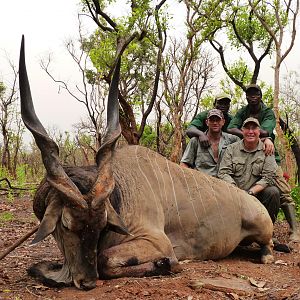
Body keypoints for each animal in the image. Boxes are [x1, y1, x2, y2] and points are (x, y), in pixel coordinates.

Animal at [17, 35, 274, 290]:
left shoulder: (157, 241)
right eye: (66, 225)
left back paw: (266, 255)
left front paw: (167, 264)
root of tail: (251, 200)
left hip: (263, 228)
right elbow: (38, 268)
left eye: (101, 225)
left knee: (268, 245)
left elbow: (104, 259)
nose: (87, 282)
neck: (120, 194)